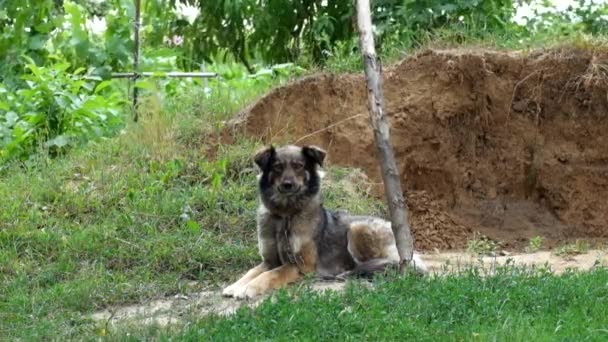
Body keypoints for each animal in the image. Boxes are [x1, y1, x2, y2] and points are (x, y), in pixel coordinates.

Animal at [221, 144, 426, 300]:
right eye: (277, 167)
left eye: (298, 166)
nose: (288, 185)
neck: (286, 216)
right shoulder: (269, 260)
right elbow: (252, 272)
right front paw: (235, 286)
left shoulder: (301, 265)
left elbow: (271, 274)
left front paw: (249, 288)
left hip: (356, 228)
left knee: (385, 264)